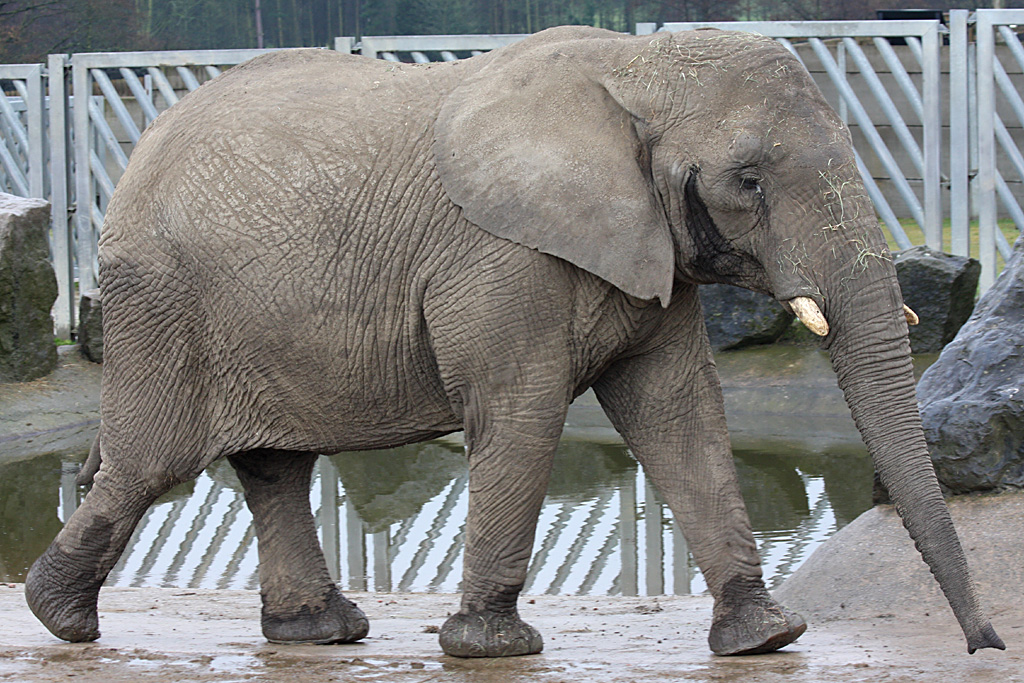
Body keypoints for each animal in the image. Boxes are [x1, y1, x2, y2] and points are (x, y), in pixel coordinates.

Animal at [26, 26, 1004, 658]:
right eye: (750, 181)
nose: (986, 644)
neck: (630, 66)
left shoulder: (647, 244)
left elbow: (680, 411)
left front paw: (766, 638)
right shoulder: (500, 257)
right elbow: (523, 410)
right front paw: (492, 645)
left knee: (275, 467)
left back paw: (318, 632)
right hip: (165, 302)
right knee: (152, 460)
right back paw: (60, 620)